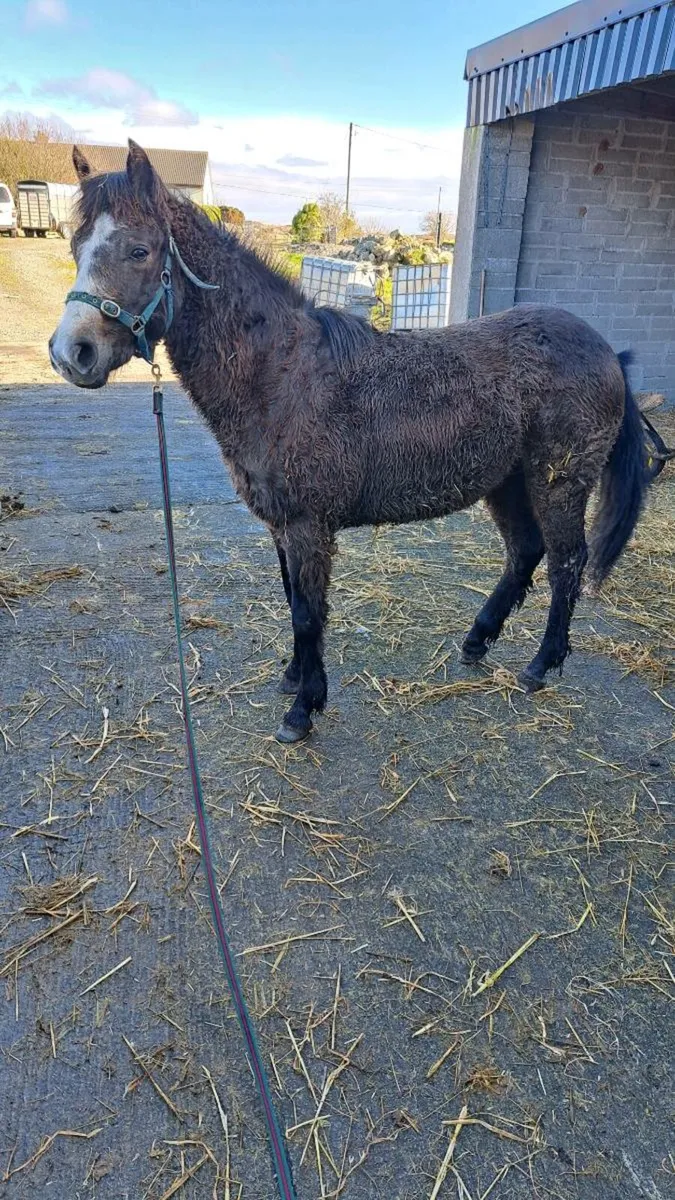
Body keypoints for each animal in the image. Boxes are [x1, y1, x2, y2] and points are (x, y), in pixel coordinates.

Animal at [50, 140, 650, 745]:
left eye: (140, 250)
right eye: (76, 246)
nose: (71, 353)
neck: (281, 372)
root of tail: (607, 351)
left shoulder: (308, 525)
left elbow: (308, 612)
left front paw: (303, 710)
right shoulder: (282, 525)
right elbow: (293, 598)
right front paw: (295, 679)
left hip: (558, 483)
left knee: (567, 561)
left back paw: (540, 665)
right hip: (507, 482)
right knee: (524, 552)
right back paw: (476, 642)